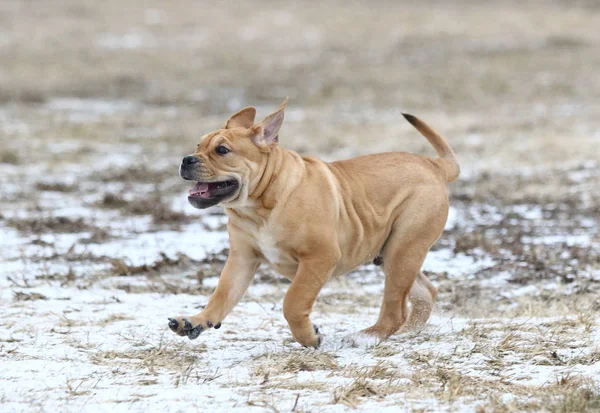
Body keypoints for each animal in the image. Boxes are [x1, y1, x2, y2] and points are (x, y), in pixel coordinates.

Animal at [169, 100, 460, 348]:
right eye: (198, 146)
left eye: (222, 150)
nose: (186, 159)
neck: (260, 207)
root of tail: (435, 165)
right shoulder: (242, 259)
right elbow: (222, 295)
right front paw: (195, 320)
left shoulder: (320, 256)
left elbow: (293, 300)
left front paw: (309, 337)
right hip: (394, 253)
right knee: (424, 292)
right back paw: (406, 333)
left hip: (404, 247)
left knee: (394, 308)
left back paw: (366, 337)